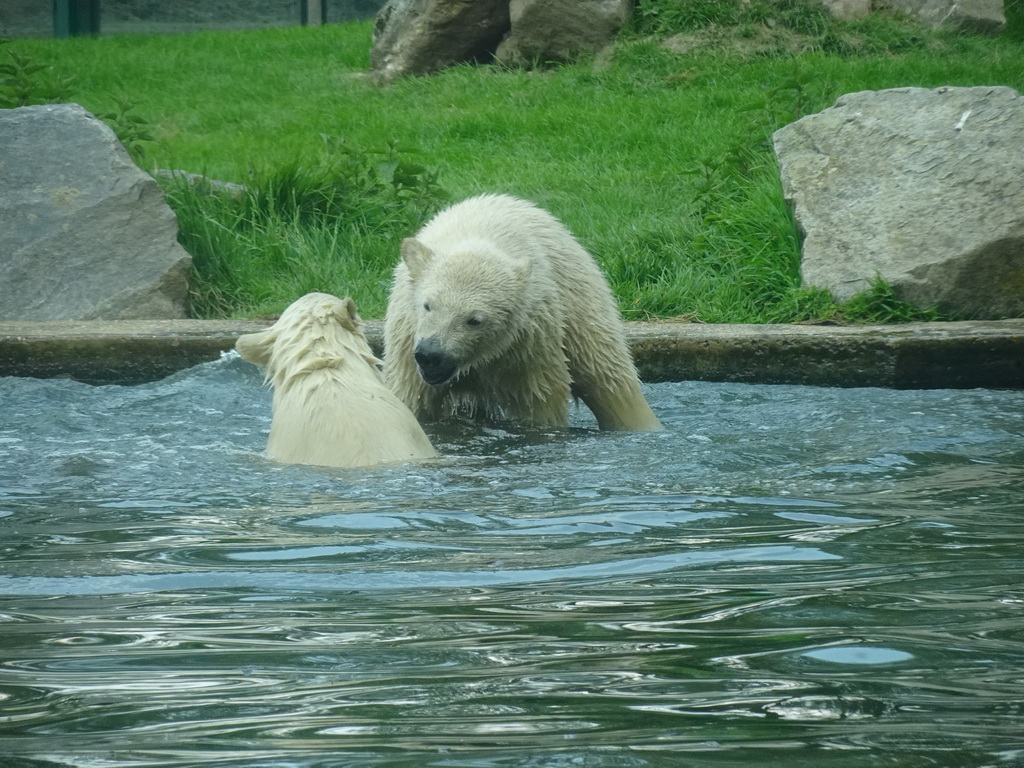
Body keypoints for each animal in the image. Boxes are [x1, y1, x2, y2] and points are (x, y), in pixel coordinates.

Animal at [385, 193, 663, 434]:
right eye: (427, 305)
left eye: (474, 320)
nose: (431, 355)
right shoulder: (407, 347)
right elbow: (413, 401)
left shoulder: (528, 343)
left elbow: (539, 402)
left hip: (580, 301)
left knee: (609, 377)